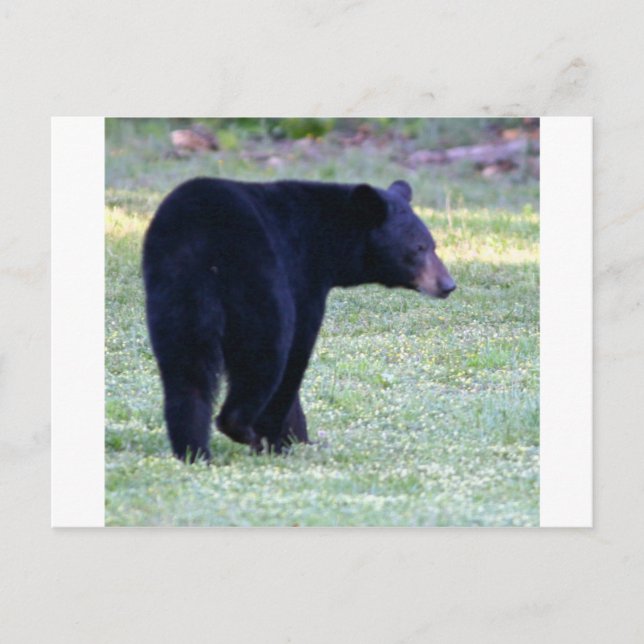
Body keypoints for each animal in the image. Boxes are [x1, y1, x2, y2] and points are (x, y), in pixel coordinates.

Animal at [142, 178, 455, 462]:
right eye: (418, 248)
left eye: (433, 245)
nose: (448, 284)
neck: (329, 238)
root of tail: (199, 232)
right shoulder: (303, 278)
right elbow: (296, 354)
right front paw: (282, 441)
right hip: (257, 280)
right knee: (265, 356)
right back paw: (239, 428)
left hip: (173, 290)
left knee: (186, 369)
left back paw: (194, 451)